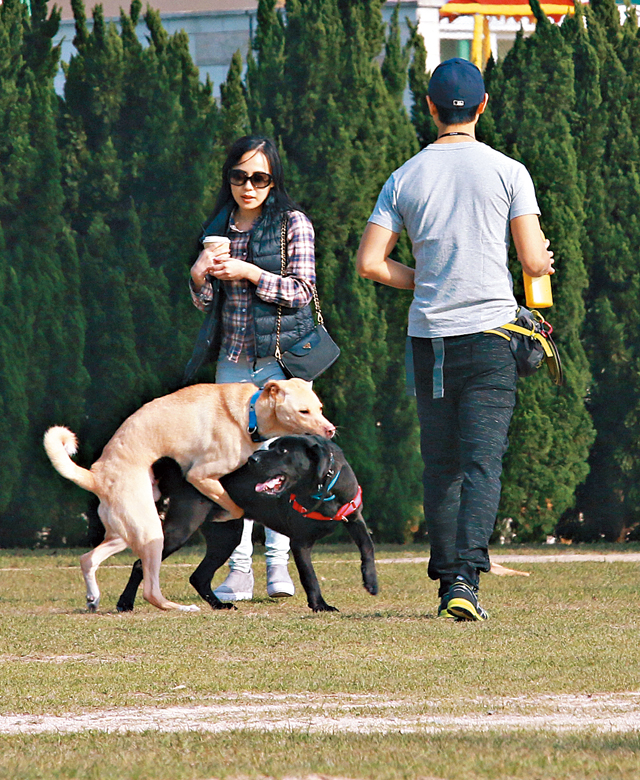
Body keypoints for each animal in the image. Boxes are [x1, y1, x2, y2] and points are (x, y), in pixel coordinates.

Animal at [44, 380, 336, 616]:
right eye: (303, 411)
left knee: (88, 558)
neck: (248, 413)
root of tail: (96, 476)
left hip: (127, 531)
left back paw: (95, 597)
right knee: (150, 589)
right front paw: (227, 512)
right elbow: (232, 506)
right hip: (153, 534)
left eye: (320, 408)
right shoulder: (201, 475)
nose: (331, 430)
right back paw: (181, 607)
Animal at [117, 436, 378, 612]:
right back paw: (125, 603)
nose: (253, 459)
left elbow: (367, 547)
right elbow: (309, 576)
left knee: (199, 576)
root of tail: (182, 474)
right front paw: (320, 605)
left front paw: (371, 582)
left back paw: (220, 605)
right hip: (180, 530)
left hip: (226, 537)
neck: (322, 489)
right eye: (269, 447)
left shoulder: (355, 519)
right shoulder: (300, 542)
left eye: (283, 450)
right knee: (141, 564)